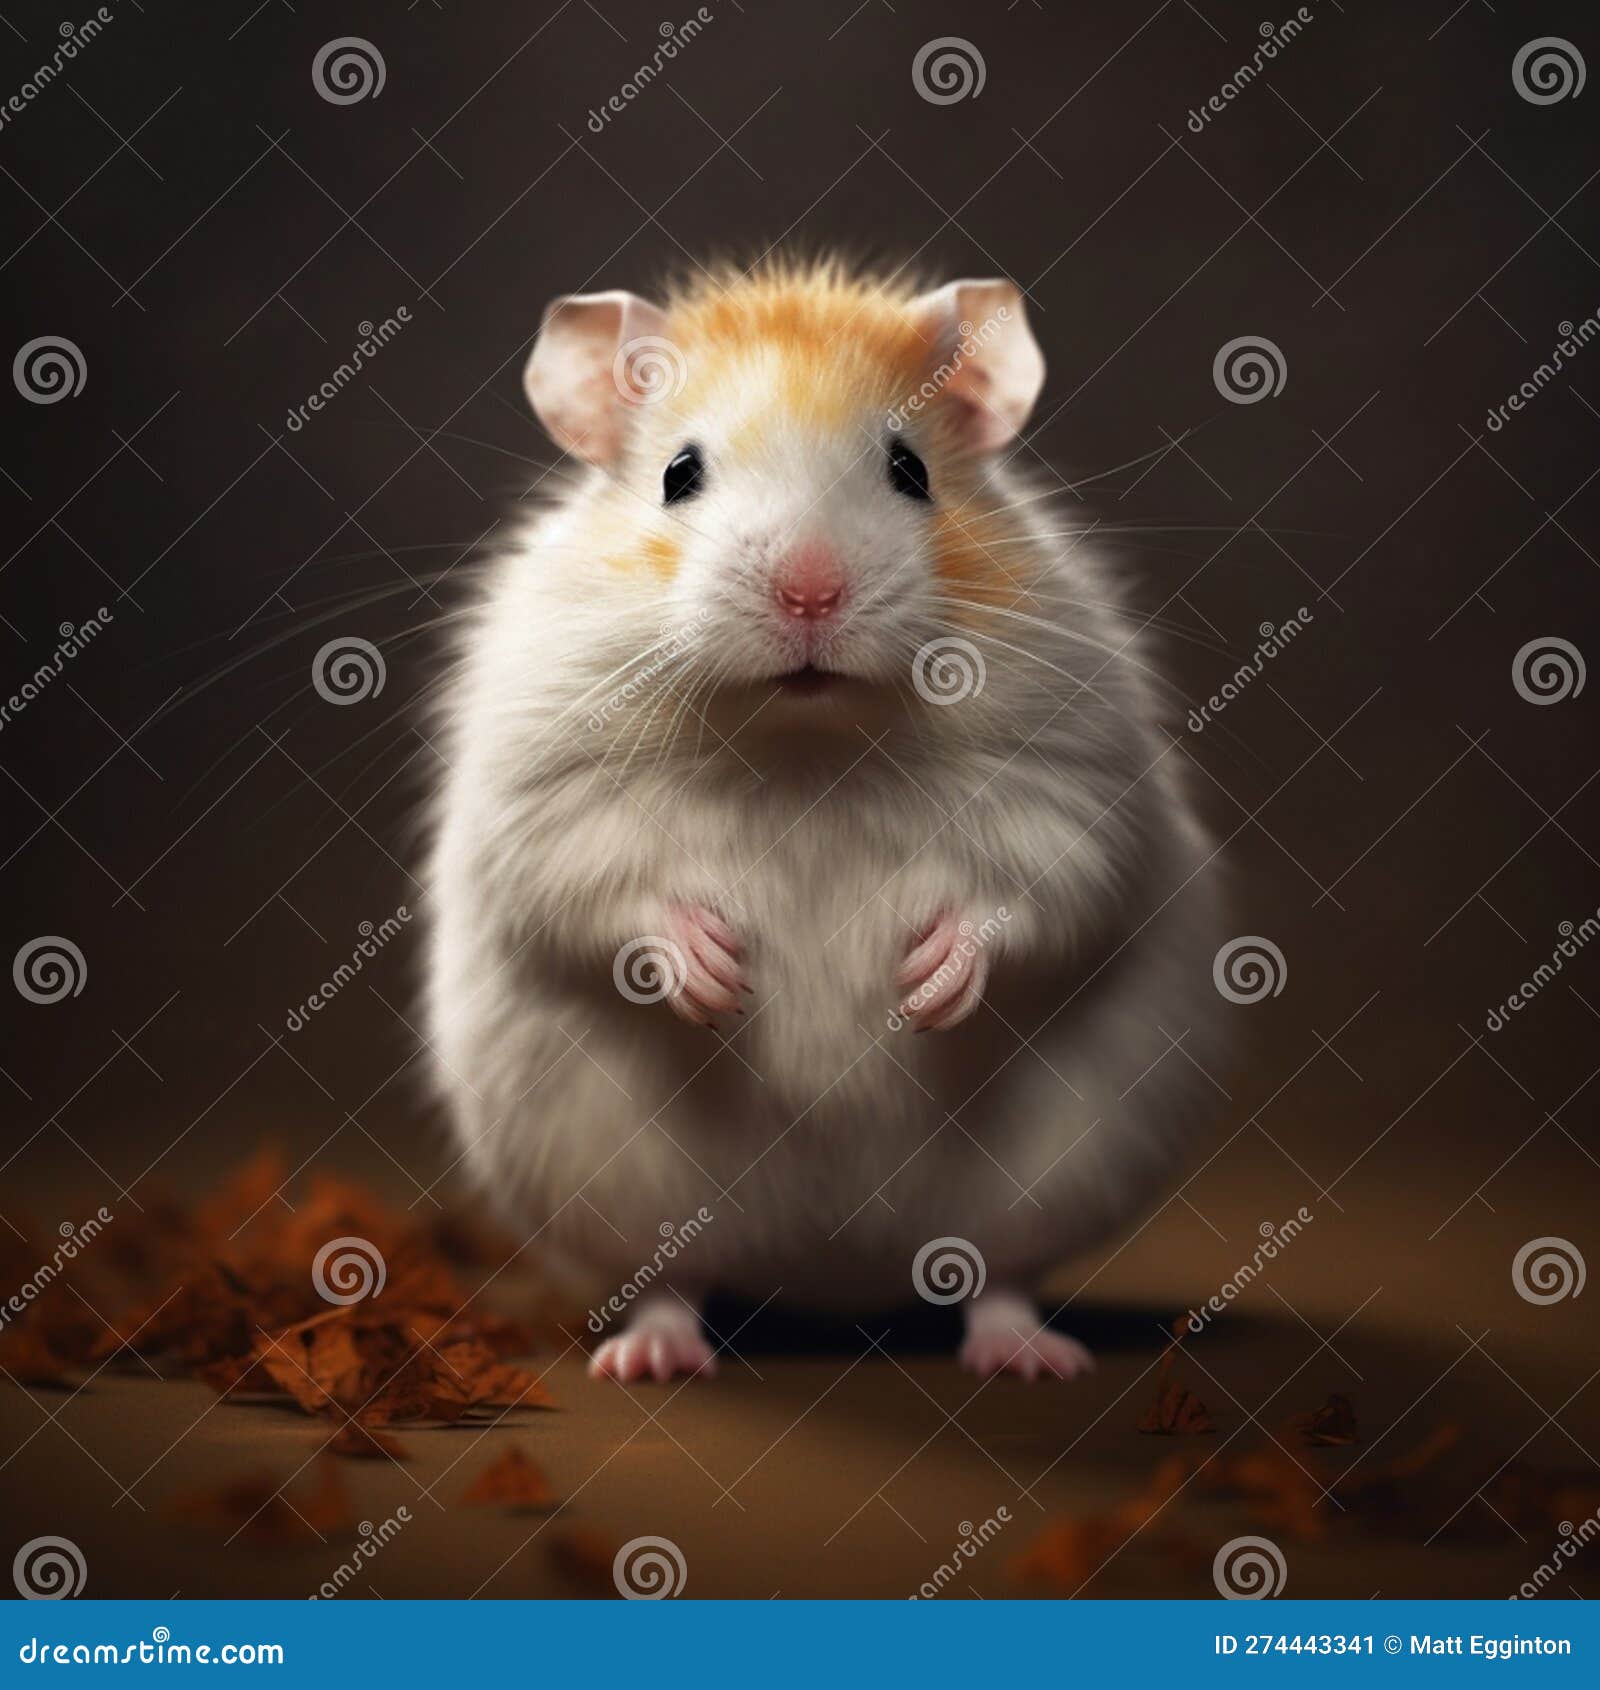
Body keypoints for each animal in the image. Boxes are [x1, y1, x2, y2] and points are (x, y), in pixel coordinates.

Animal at [426, 259, 1226, 1383]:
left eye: (910, 470)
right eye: (678, 474)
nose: (811, 591)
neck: (806, 743)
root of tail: (831, 1278)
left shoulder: (1070, 782)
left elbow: (1030, 895)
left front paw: (923, 982)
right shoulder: (543, 795)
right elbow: (608, 888)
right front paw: (718, 974)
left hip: (1057, 1173)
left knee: (999, 1276)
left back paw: (1030, 1356)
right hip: (620, 1192)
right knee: (673, 1279)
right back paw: (651, 1356)